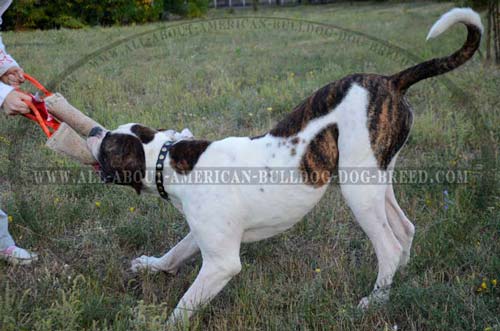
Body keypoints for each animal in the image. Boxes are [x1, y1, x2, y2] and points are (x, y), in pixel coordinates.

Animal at [88, 8, 482, 326]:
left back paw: (375, 301)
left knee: (389, 246)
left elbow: (184, 306)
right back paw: (401, 278)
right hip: (377, 181)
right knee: (404, 229)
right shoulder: (203, 237)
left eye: (108, 145)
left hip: (358, 190)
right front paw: (151, 265)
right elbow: (174, 253)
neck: (168, 158)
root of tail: (390, 80)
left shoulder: (221, 262)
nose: (92, 131)